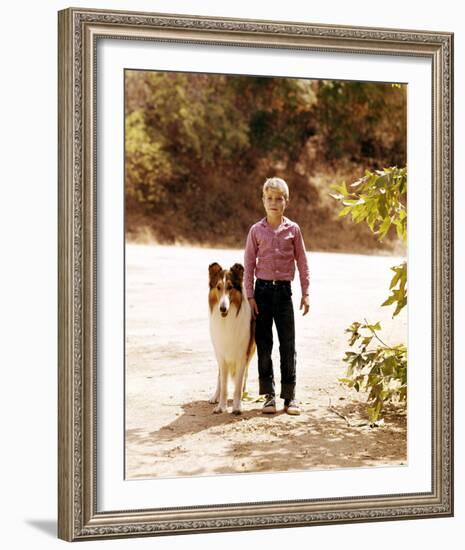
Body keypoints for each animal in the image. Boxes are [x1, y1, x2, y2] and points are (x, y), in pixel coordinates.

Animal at [208, 264, 256, 414]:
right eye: (218, 287)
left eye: (230, 287)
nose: (222, 308)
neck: (227, 319)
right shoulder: (221, 355)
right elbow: (223, 384)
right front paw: (221, 406)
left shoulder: (242, 355)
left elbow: (238, 385)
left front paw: (237, 406)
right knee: (219, 378)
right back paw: (215, 397)